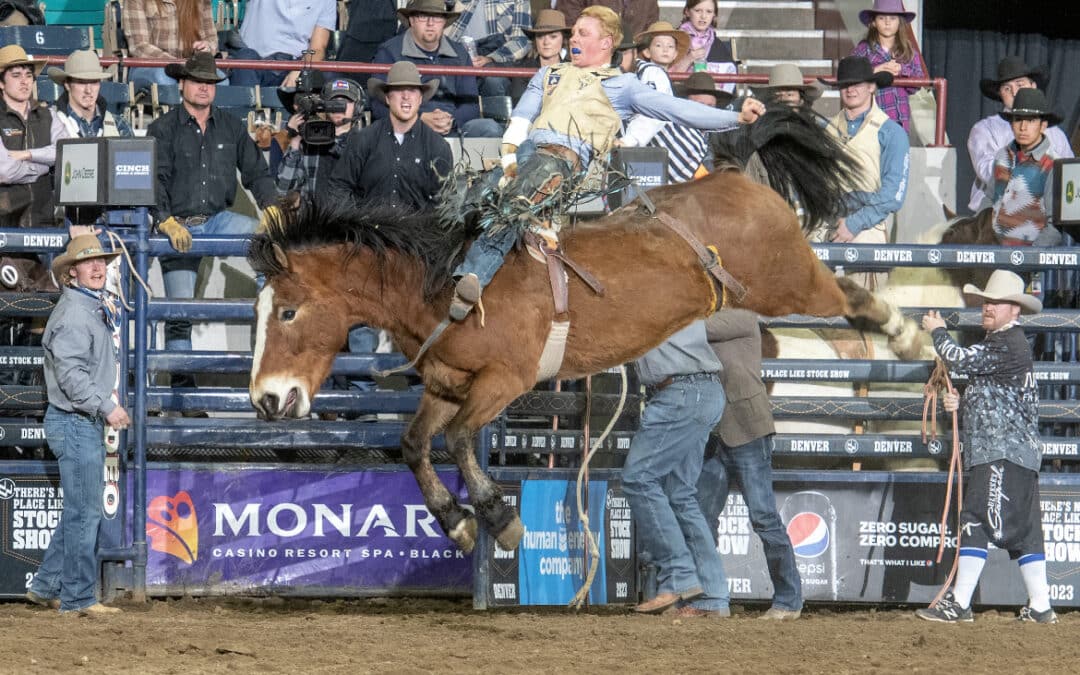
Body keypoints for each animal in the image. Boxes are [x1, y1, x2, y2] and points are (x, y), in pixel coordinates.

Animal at [247, 167, 920, 552]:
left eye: (288, 312)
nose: (266, 400)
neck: (444, 286)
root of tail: (737, 178)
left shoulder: (504, 380)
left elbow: (461, 439)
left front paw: (498, 517)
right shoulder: (446, 383)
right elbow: (416, 445)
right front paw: (457, 523)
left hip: (790, 284)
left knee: (851, 298)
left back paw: (910, 336)